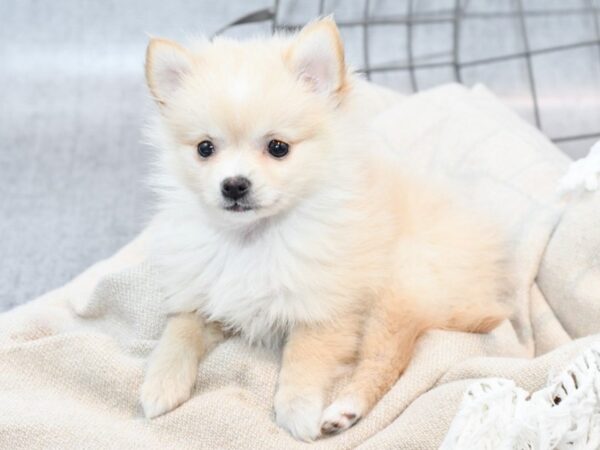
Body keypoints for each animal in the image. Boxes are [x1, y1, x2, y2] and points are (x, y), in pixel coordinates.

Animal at [141, 18, 510, 442]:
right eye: (205, 148)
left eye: (278, 147)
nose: (234, 185)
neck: (255, 238)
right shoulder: (205, 295)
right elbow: (178, 332)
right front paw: (160, 383)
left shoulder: (326, 309)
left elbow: (305, 360)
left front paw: (297, 410)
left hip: (398, 292)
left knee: (387, 360)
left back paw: (345, 410)